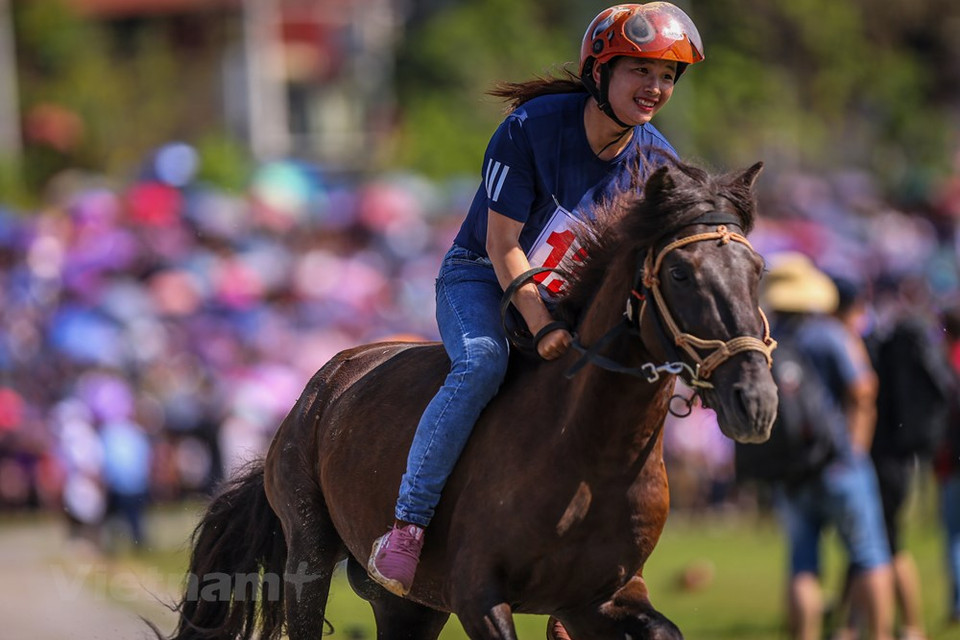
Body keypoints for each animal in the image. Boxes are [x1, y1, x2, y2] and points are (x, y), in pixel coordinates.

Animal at [161, 156, 779, 640]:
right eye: (679, 272)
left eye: (757, 269)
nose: (755, 399)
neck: (589, 453)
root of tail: (321, 386)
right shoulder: (478, 595)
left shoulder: (597, 597)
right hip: (309, 553)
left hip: (407, 605)